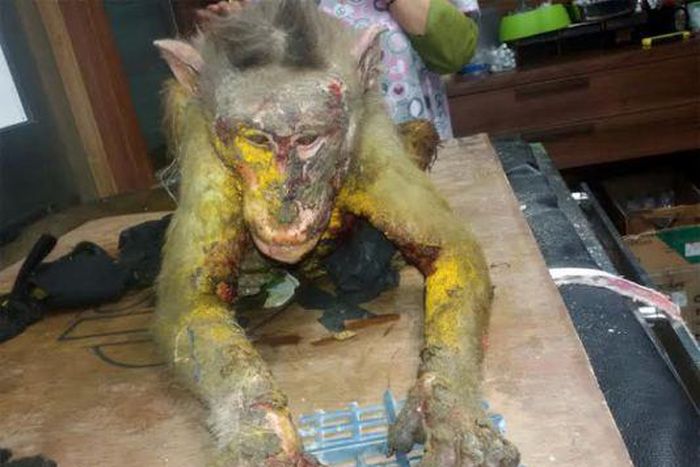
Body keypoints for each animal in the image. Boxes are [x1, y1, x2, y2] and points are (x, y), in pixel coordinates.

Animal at [153, 1, 520, 466]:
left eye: (309, 139)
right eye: (257, 140)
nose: (285, 206)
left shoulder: (371, 151)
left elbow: (451, 252)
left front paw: (448, 407)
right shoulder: (206, 158)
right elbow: (191, 302)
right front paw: (261, 434)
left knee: (420, 131)